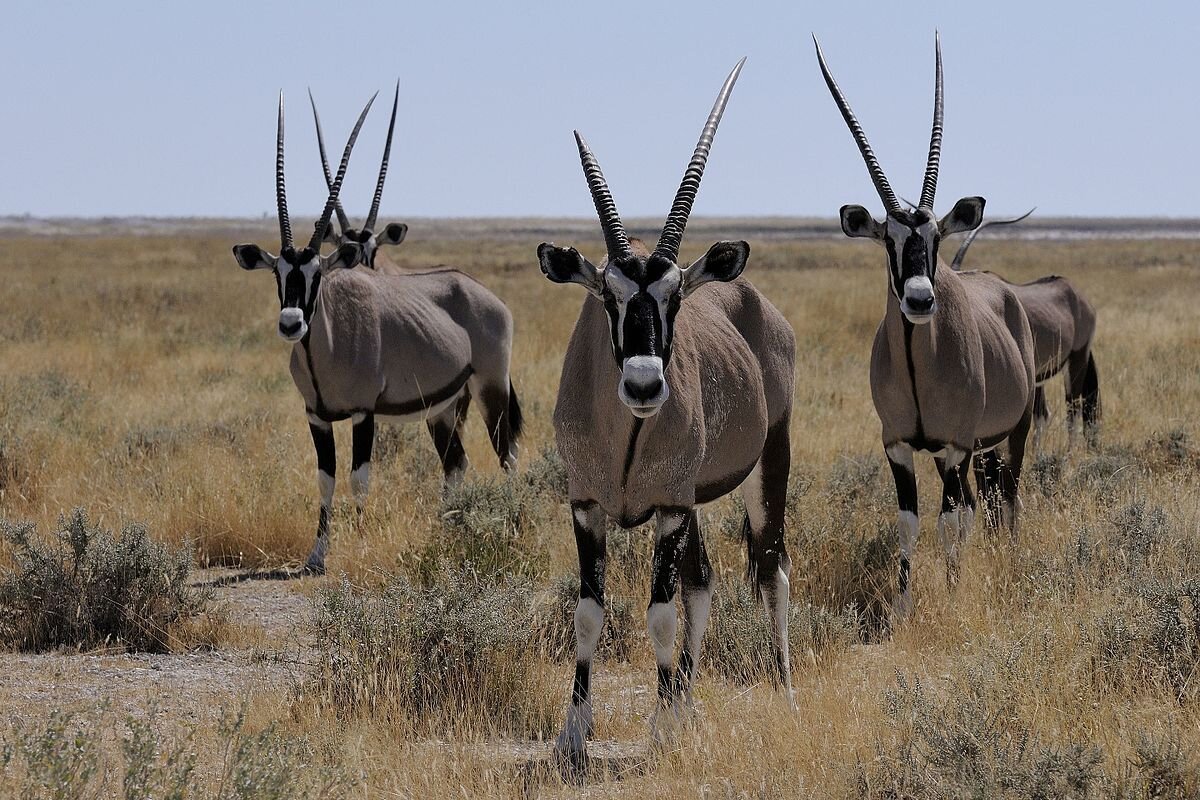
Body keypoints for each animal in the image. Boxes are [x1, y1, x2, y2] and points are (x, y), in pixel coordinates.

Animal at [234, 92, 520, 575]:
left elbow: (359, 478)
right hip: (443, 407)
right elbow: (326, 480)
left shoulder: (363, 412)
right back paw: (445, 530)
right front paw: (317, 556)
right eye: (278, 272)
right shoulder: (316, 416)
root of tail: (482, 293)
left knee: (507, 454)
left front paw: (362, 544)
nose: (291, 323)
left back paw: (515, 523)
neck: (325, 346)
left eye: (316, 274)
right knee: (456, 463)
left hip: (490, 387)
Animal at [540, 57, 792, 762]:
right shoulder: (587, 502)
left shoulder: (668, 512)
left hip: (767, 467)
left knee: (773, 569)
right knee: (704, 583)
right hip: (696, 498)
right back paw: (686, 699)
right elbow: (590, 611)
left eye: (675, 295)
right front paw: (576, 731)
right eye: (608, 294)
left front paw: (660, 727)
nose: (646, 385)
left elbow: (658, 613)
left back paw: (784, 694)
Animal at [816, 34, 1041, 618]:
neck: (921, 364)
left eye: (936, 237)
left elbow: (946, 524)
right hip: (966, 453)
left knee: (1007, 497)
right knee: (977, 503)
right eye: (889, 240)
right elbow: (911, 524)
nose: (920, 298)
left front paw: (954, 592)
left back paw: (1008, 558)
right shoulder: (898, 444)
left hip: (1012, 432)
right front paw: (902, 606)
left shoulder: (952, 446)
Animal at [950, 212, 1099, 450]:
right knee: (1045, 414)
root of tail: (1077, 294)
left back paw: (1070, 451)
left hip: (1077, 359)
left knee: (1073, 407)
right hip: (1042, 376)